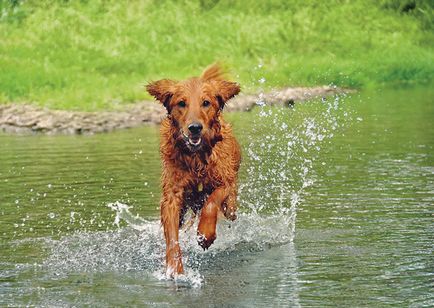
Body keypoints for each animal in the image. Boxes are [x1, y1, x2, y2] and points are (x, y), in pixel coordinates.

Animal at [146, 63, 241, 276]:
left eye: (206, 103)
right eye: (181, 103)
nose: (195, 127)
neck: (196, 157)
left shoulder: (225, 182)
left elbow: (212, 202)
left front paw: (205, 235)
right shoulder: (172, 196)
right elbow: (172, 236)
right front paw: (175, 268)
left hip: (231, 205)